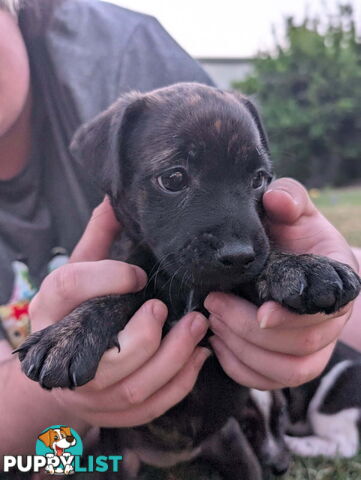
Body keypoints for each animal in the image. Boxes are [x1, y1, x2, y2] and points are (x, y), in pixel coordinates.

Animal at [15, 83, 358, 480]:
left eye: (259, 179)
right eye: (174, 179)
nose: (239, 254)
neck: (184, 288)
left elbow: (257, 271)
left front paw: (300, 265)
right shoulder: (133, 266)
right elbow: (122, 291)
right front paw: (70, 333)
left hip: (236, 450)